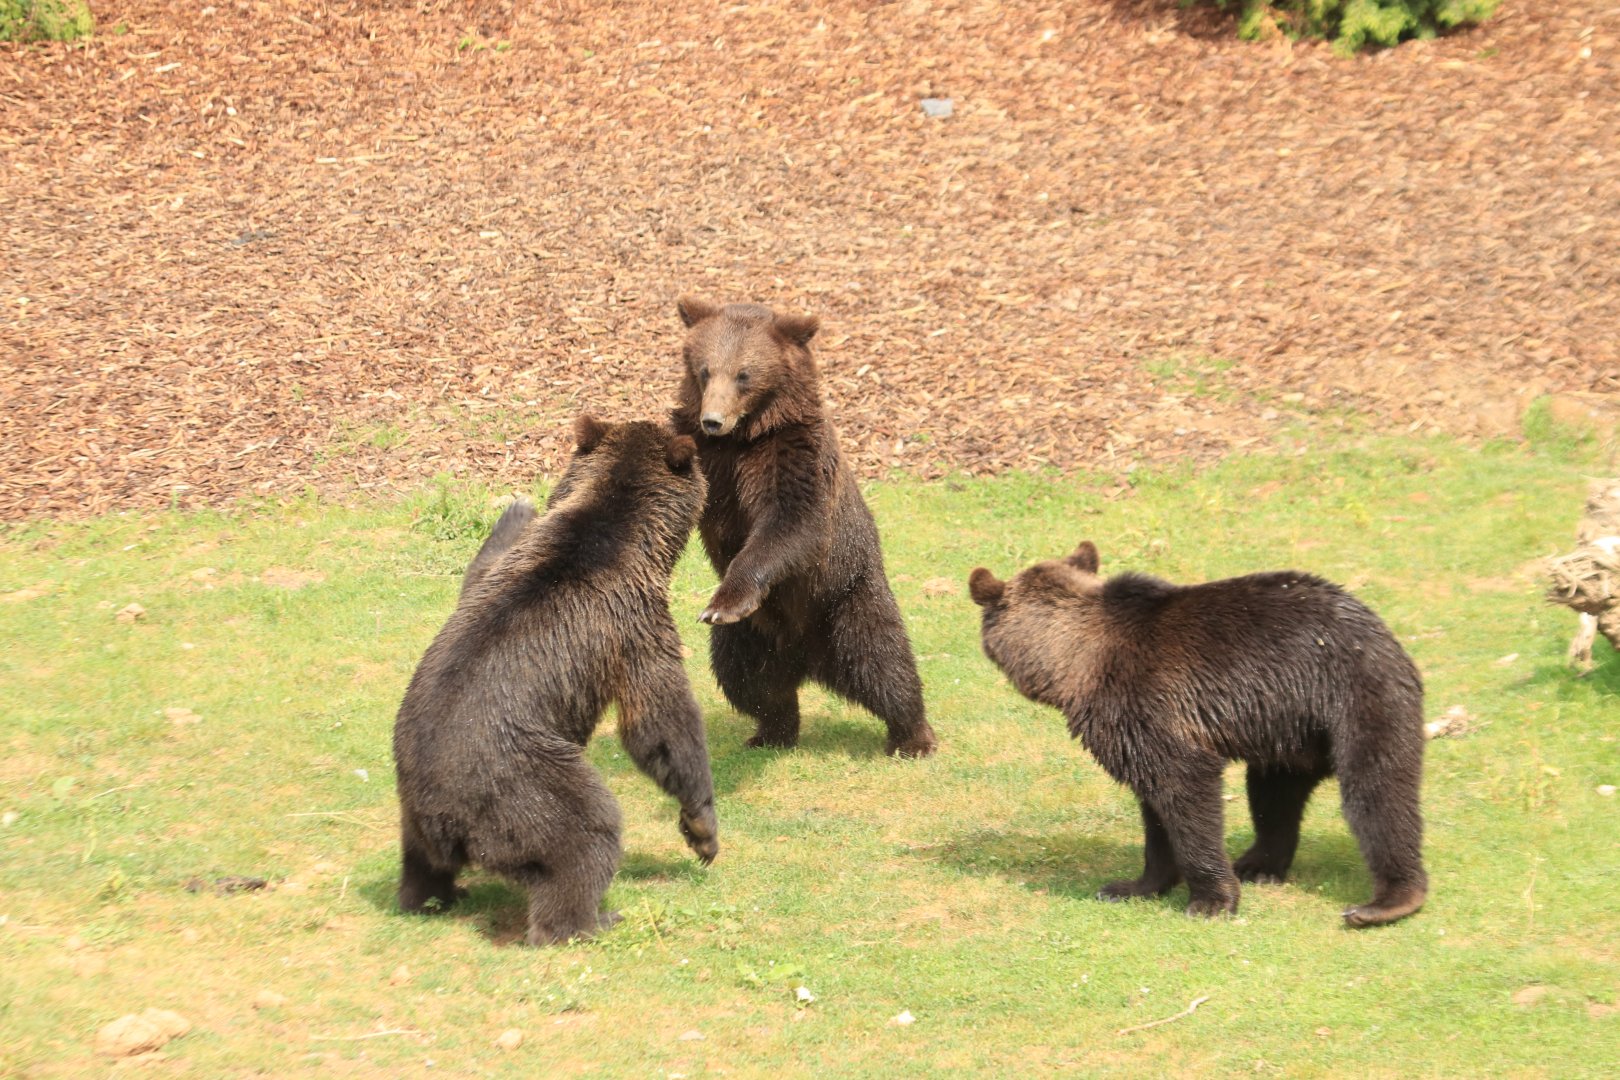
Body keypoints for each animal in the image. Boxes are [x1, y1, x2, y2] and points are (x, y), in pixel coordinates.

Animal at [392, 415, 719, 945]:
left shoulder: (503, 570)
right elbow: (659, 720)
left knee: (419, 861)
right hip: (524, 780)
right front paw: (702, 827)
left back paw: (431, 896)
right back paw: (590, 919)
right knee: (584, 832)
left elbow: (479, 568)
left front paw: (517, 506)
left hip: (411, 797)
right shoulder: (631, 624)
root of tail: (443, 819)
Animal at [671, 296, 937, 758]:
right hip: (751, 635)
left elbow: (792, 523)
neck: (745, 438)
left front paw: (724, 602)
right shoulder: (708, 461)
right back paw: (770, 732)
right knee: (750, 682)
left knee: (885, 664)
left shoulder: (792, 453)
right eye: (705, 370)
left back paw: (913, 738)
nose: (713, 420)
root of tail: (807, 659)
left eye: (744, 374)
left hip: (846, 600)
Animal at [968, 541, 1427, 927]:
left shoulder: (1149, 709)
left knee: (1377, 793)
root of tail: (1380, 626)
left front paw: (1210, 900)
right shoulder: (1136, 737)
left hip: (1353, 697)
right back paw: (1258, 864)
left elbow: (1186, 796)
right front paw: (1132, 886)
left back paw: (1386, 900)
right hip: (1287, 734)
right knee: (1273, 796)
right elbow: (1154, 812)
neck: (1078, 663)